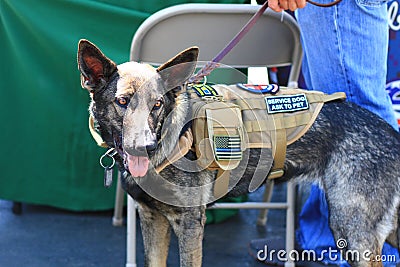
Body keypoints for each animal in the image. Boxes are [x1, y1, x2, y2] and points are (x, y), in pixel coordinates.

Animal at [77, 39, 400, 267]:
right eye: (123, 102)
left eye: (157, 104)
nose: (146, 147)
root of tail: (392, 132)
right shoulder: (152, 219)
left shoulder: (190, 225)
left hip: (352, 231)